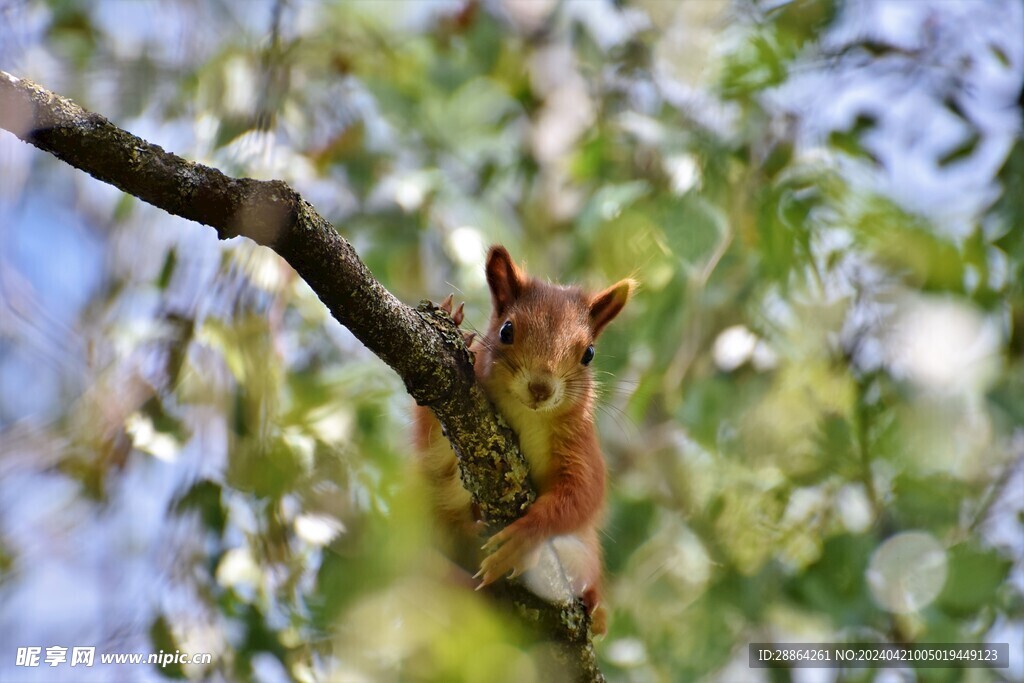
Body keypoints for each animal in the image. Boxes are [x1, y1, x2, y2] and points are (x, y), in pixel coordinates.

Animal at [413, 245, 630, 634]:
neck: (529, 414)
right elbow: (434, 449)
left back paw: (594, 609)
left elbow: (582, 495)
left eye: (588, 353)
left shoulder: (581, 446)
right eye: (506, 330)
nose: (540, 388)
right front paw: (453, 323)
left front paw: (525, 536)